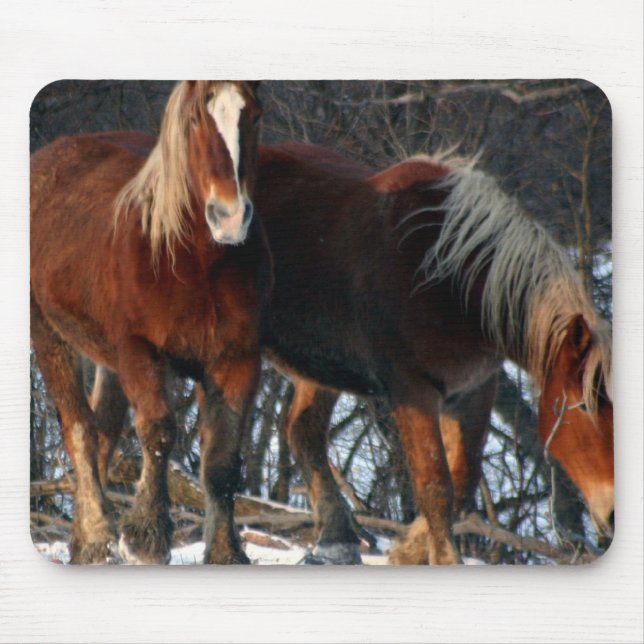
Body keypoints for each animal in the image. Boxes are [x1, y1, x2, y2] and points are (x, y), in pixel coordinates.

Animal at [30, 81, 269, 564]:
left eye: (254, 115)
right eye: (196, 119)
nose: (230, 216)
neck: (197, 263)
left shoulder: (237, 360)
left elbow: (221, 459)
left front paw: (225, 551)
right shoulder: (140, 351)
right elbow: (158, 433)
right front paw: (146, 536)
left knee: (103, 429)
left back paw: (84, 543)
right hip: (48, 334)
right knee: (80, 429)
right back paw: (98, 534)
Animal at [255, 143, 613, 564]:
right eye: (585, 406)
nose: (612, 513)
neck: (448, 278)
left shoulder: (474, 389)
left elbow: (462, 480)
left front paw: (408, 550)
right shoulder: (414, 390)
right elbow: (435, 485)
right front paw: (441, 558)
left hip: (323, 367)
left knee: (303, 432)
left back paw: (336, 541)